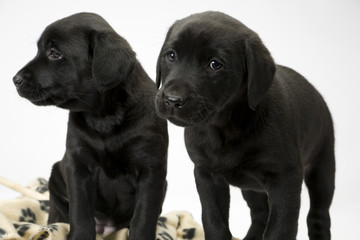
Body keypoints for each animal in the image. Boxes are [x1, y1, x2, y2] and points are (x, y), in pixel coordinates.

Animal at [12, 12, 167, 240]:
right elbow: (80, 213)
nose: (15, 79)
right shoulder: (78, 165)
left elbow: (143, 218)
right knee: (57, 215)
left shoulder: (151, 170)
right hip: (57, 174)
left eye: (54, 54)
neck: (103, 115)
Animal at [156, 11, 336, 240]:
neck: (225, 127)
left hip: (323, 168)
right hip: (251, 187)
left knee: (318, 215)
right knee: (260, 215)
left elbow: (280, 228)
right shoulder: (206, 175)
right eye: (171, 56)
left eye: (215, 64)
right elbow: (214, 221)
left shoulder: (285, 179)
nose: (172, 100)